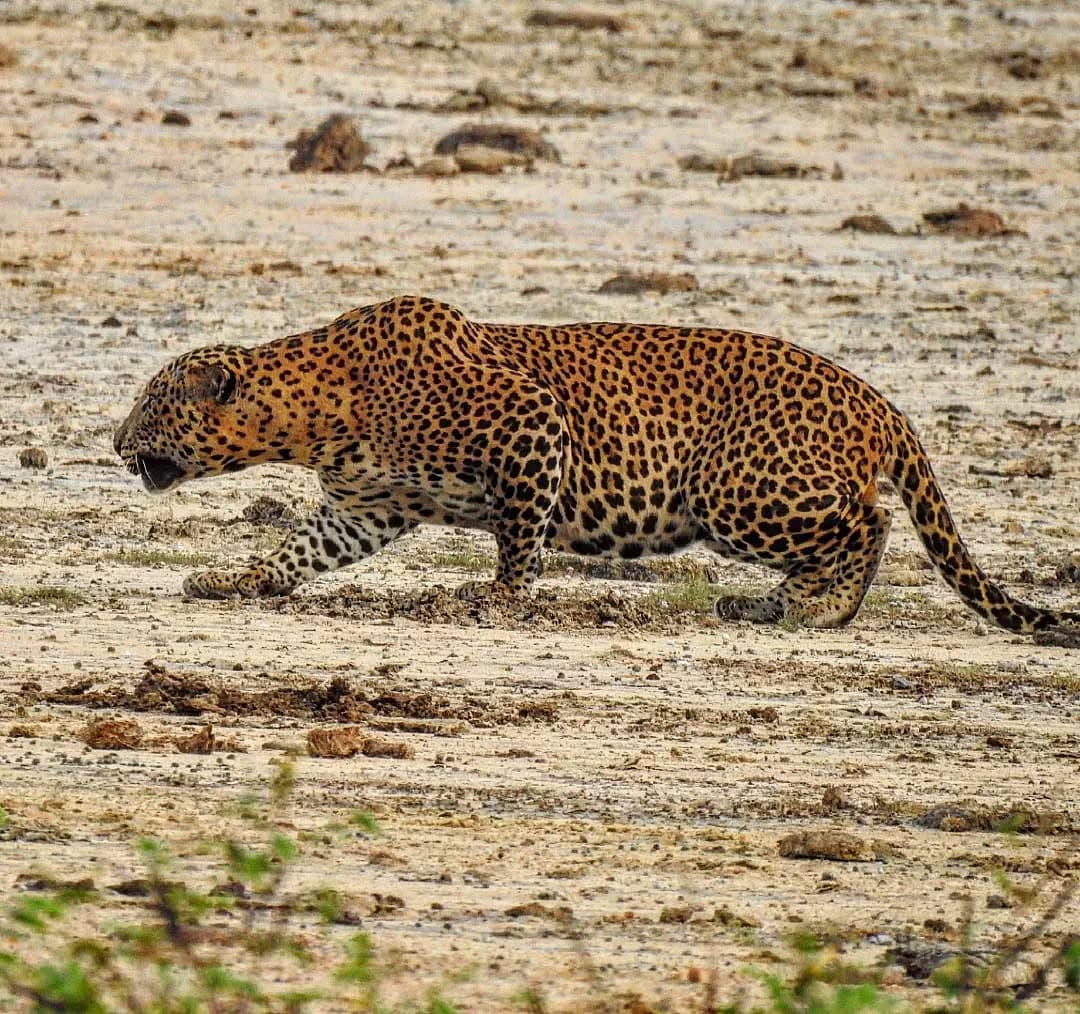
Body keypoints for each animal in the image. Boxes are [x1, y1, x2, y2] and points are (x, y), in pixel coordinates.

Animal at [114, 294, 1079, 639]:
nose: (116, 444)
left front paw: (493, 599)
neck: (318, 411)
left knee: (868, 520)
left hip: (736, 490)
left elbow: (520, 537)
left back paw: (818, 609)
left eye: (152, 401)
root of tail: (879, 399)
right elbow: (295, 551)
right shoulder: (367, 506)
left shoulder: (533, 426)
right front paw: (233, 579)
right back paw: (769, 603)